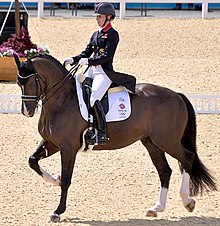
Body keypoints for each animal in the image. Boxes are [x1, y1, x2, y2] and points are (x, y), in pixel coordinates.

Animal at [13, 53, 217, 222]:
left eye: (31, 81)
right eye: (18, 83)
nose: (26, 112)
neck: (62, 99)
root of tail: (177, 95)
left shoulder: (68, 147)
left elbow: (66, 179)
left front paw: (57, 211)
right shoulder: (52, 143)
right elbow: (32, 161)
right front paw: (54, 179)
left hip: (168, 141)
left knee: (187, 158)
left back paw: (187, 201)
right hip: (151, 142)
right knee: (165, 170)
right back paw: (157, 208)